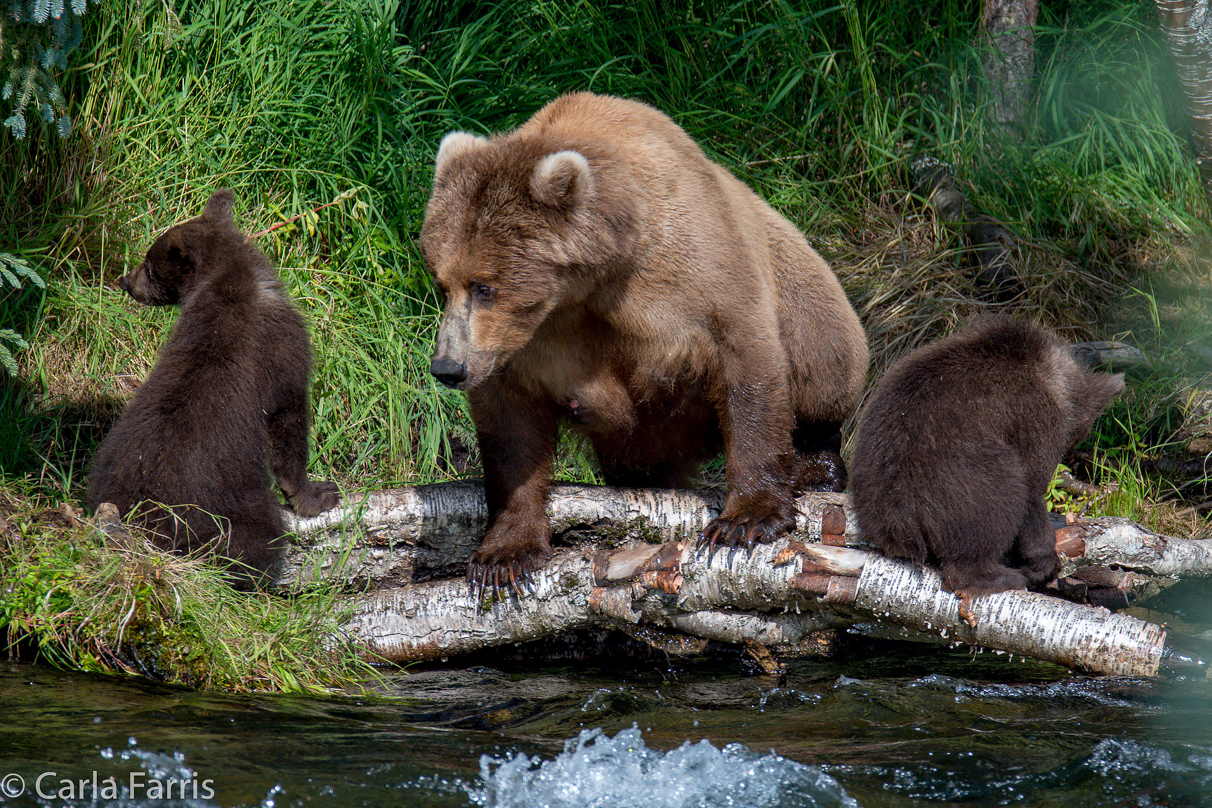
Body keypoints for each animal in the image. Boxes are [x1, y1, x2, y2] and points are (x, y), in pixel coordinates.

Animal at [87, 190, 339, 583]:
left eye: (148, 265)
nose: (125, 281)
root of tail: (144, 523)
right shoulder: (282, 350)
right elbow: (288, 423)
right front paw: (318, 493)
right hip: (227, 507)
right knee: (258, 540)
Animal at [421, 93, 867, 593]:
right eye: (442, 282)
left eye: (484, 286)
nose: (447, 368)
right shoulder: (525, 344)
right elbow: (511, 429)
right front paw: (505, 555)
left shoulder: (693, 272)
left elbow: (744, 360)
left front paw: (746, 520)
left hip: (810, 297)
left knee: (824, 367)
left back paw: (816, 466)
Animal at [848, 314, 1119, 593]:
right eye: (1080, 433)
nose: (1075, 458)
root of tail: (898, 518)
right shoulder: (1032, 419)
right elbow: (1032, 487)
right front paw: (1044, 562)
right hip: (963, 474)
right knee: (998, 498)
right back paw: (1002, 576)